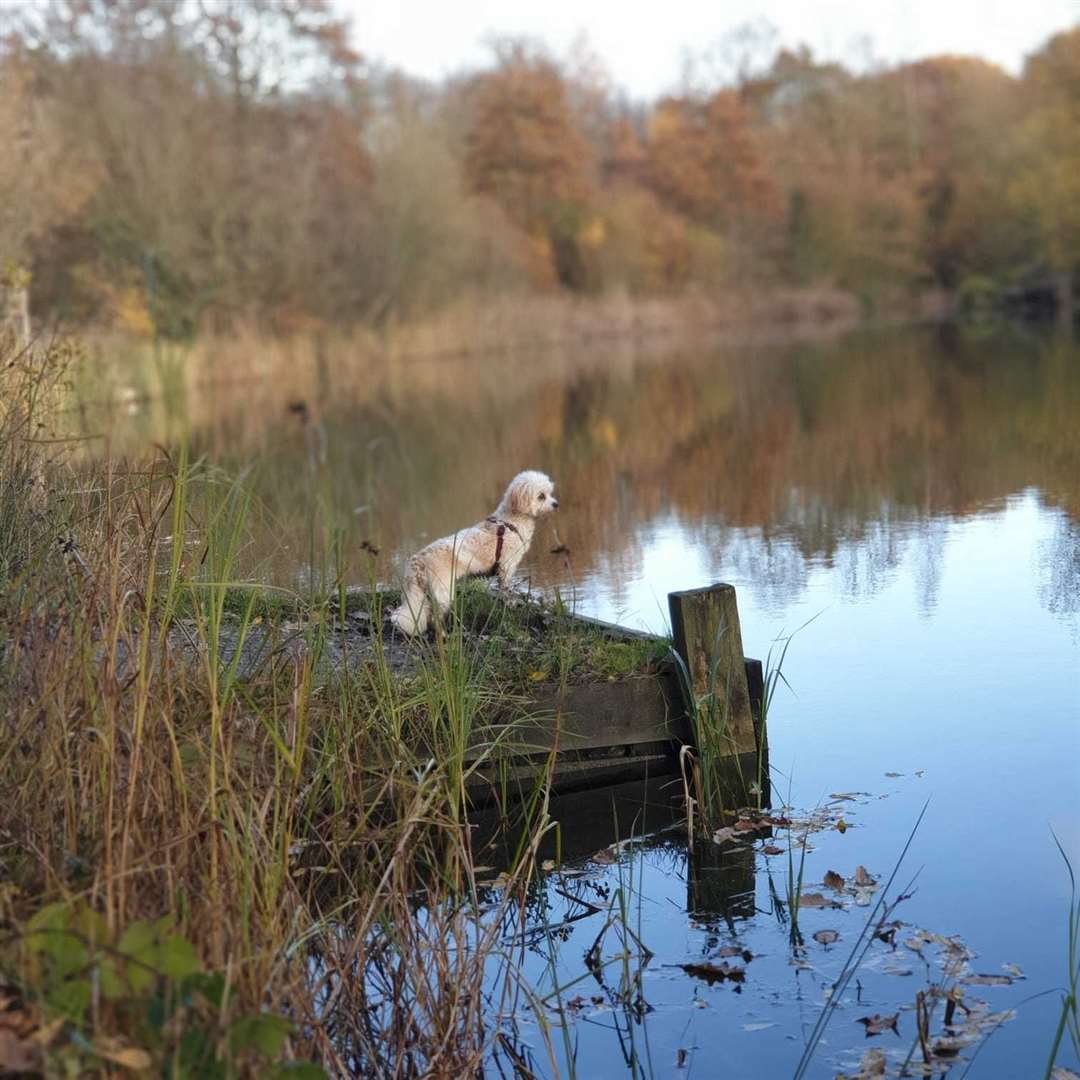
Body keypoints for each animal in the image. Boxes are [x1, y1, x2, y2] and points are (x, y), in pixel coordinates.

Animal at [388, 470, 557, 635]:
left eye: (550, 493)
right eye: (541, 496)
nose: (556, 504)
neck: (512, 521)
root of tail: (418, 561)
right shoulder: (506, 566)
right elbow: (505, 588)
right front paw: (510, 603)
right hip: (442, 592)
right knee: (434, 618)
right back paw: (443, 634)